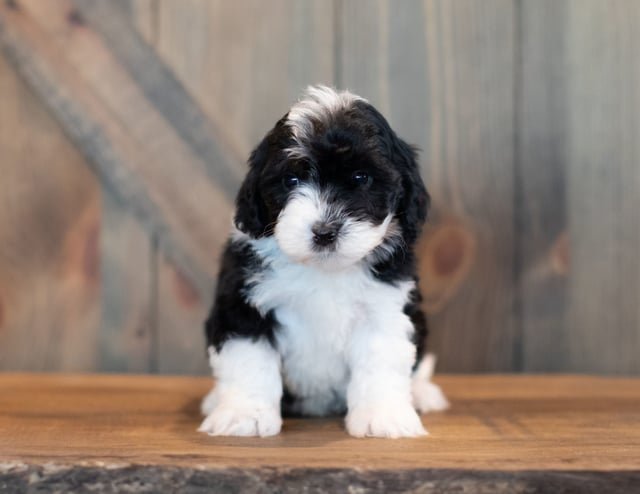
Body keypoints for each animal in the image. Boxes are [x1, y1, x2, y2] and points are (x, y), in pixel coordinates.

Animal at [198, 87, 448, 438]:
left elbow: (382, 361)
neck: (324, 270)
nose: (325, 232)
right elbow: (249, 359)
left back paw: (423, 393)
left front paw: (382, 416)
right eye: (291, 180)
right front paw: (244, 414)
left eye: (361, 177)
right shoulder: (242, 302)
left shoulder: (384, 308)